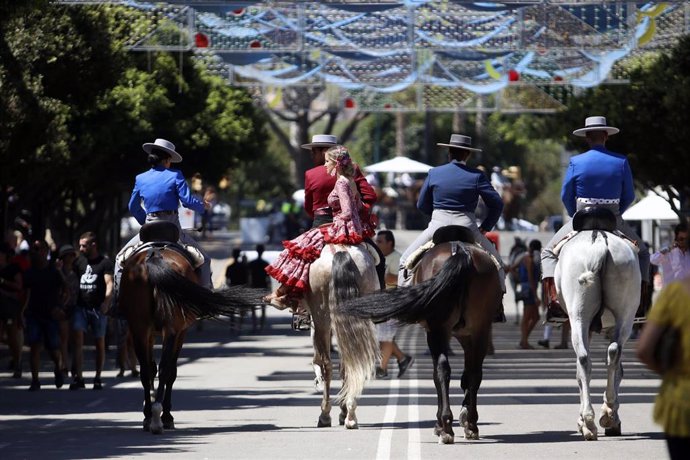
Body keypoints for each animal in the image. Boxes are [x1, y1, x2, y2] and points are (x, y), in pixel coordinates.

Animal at [119, 239, 256, 434]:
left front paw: (150, 411)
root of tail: (155, 255)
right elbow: (168, 371)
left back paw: (151, 417)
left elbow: (152, 368)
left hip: (142, 327)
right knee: (165, 369)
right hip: (169, 328)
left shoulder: (150, 332)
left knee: (148, 370)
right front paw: (164, 415)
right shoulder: (179, 332)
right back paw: (159, 417)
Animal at [304, 243, 378, 430]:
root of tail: (338, 251)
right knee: (351, 362)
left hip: (322, 317)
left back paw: (326, 414)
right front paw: (344, 410)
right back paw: (350, 415)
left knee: (327, 365)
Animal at [338, 226, 500, 442]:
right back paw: (469, 424)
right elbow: (469, 374)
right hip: (478, 328)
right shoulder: (469, 334)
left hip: (438, 330)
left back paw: (444, 426)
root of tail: (461, 250)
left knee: (441, 370)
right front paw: (467, 419)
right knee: (472, 373)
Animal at [552, 228, 640, 440]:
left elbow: (579, 373)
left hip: (579, 316)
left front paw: (583, 420)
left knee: (586, 359)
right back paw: (606, 413)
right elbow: (617, 370)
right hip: (625, 315)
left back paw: (591, 421)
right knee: (613, 352)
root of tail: (600, 243)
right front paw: (611, 415)